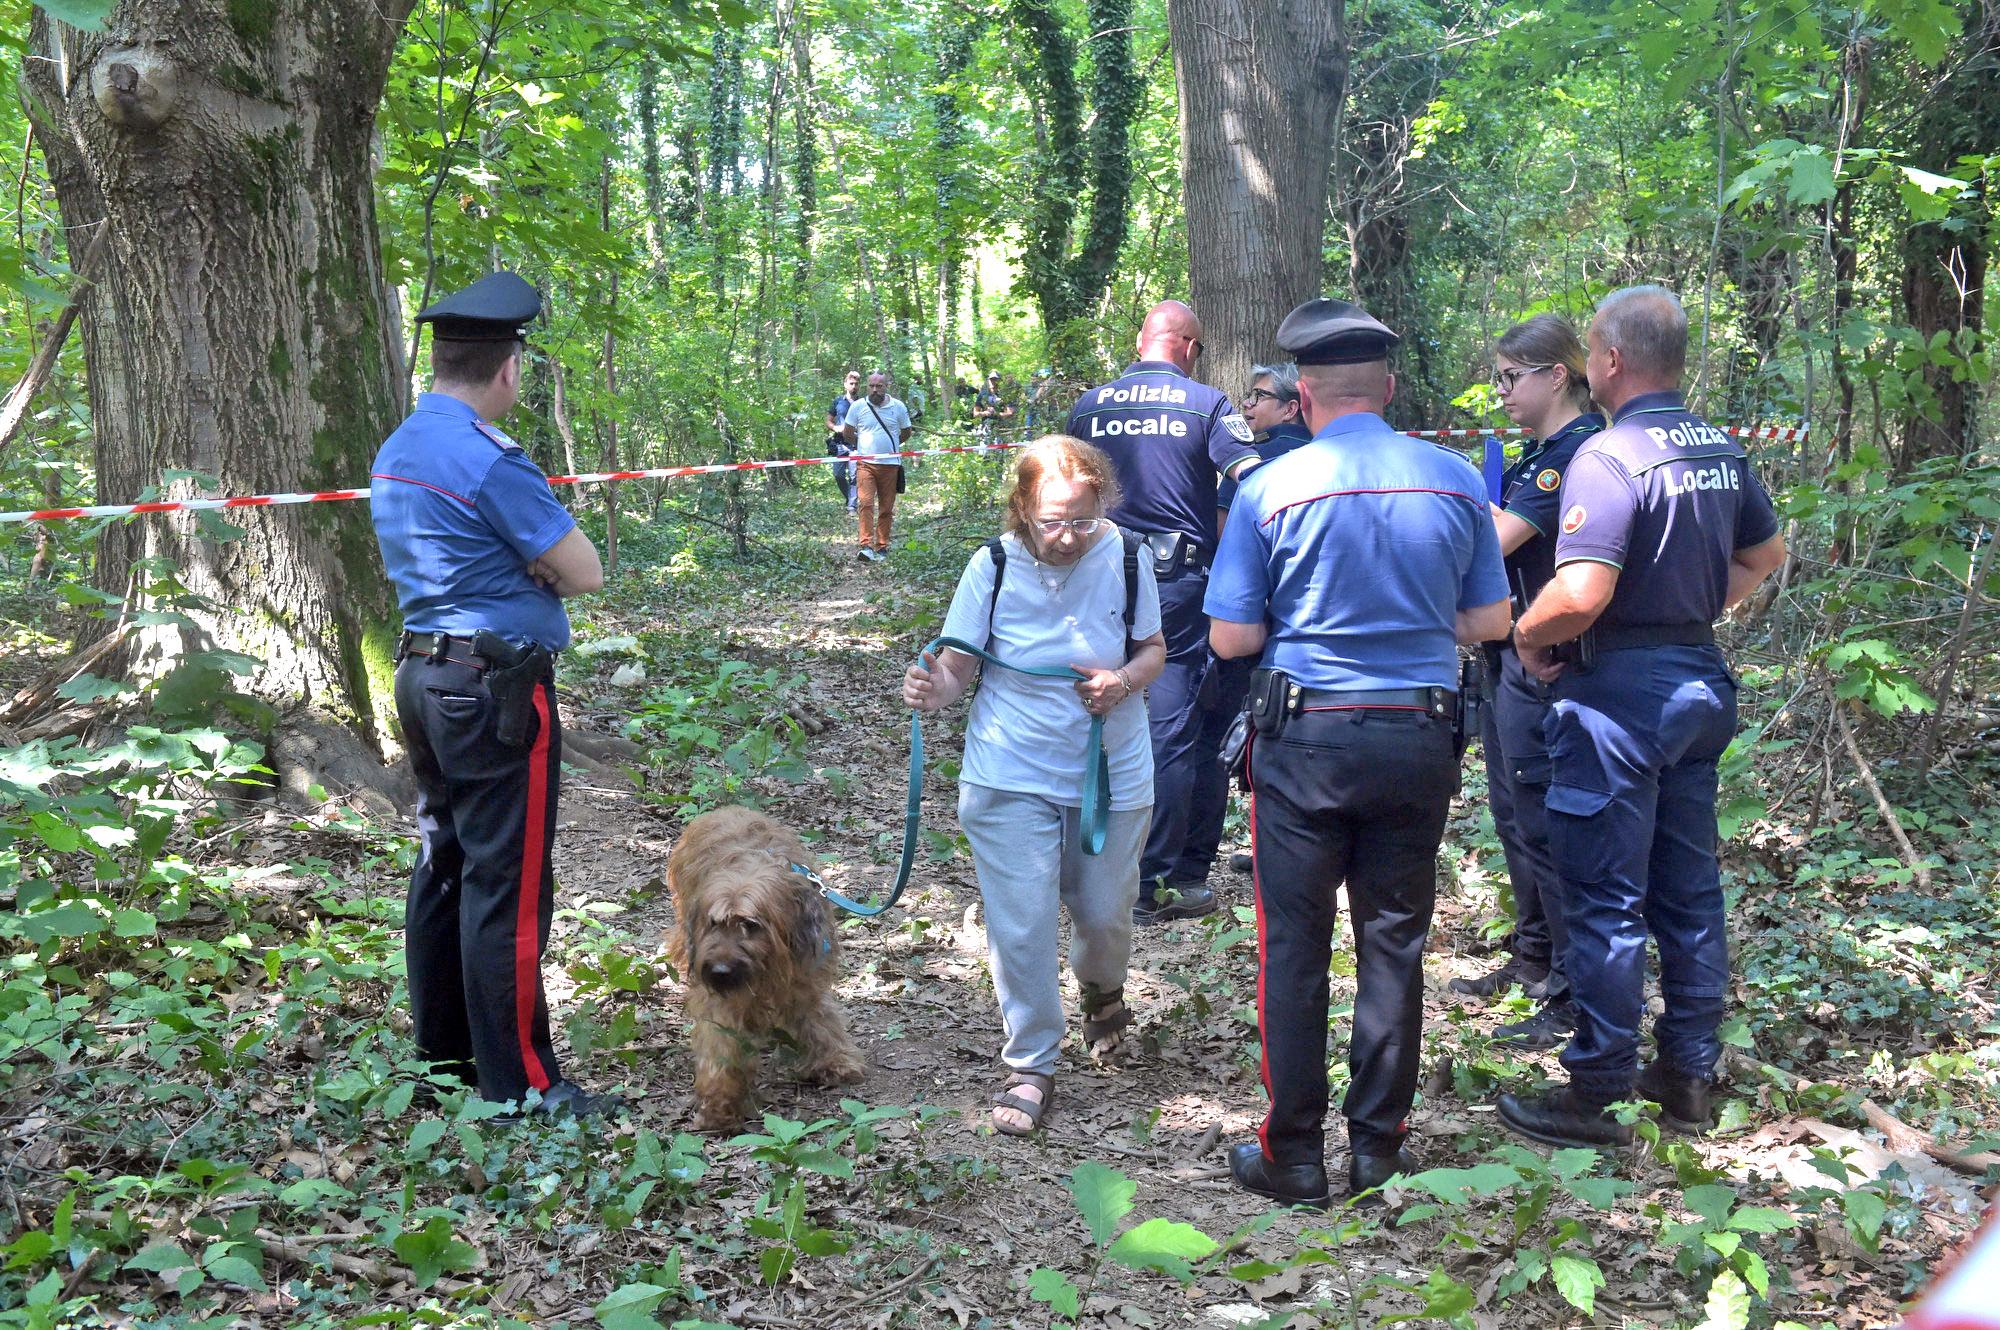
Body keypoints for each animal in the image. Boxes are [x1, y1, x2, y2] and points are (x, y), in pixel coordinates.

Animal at [668, 804, 864, 1128]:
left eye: (751, 924)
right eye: (714, 923)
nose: (719, 972)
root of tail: (726, 808)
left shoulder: (804, 975)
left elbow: (819, 1016)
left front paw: (834, 1060)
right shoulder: (721, 999)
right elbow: (721, 1041)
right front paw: (721, 1103)